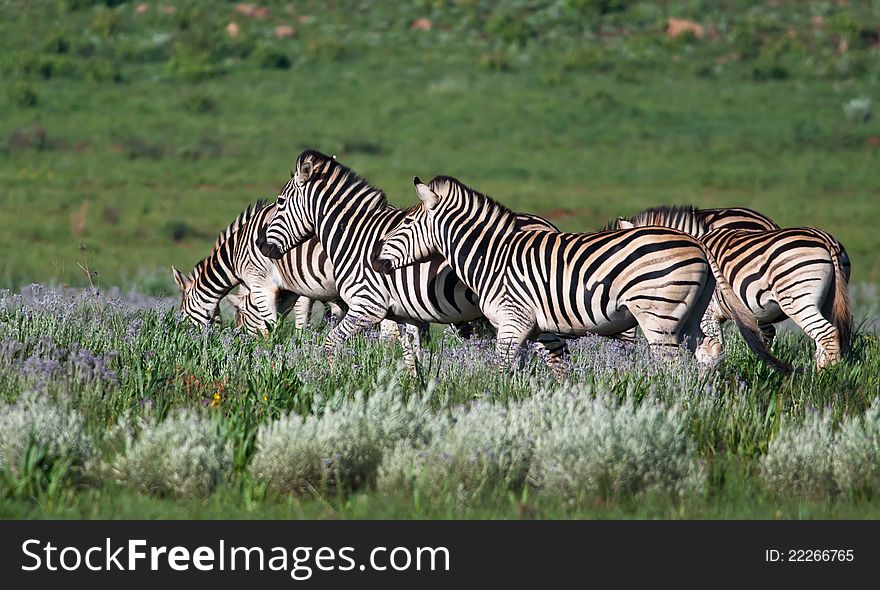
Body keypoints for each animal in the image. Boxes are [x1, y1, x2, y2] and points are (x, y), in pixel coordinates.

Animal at [256, 150, 556, 372]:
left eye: (280, 201)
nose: (261, 244)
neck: (356, 236)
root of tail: (547, 224)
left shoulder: (368, 305)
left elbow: (332, 344)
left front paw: (330, 380)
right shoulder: (403, 314)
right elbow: (411, 358)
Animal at [372, 176, 792, 380]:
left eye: (404, 225)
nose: (375, 260)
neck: (492, 255)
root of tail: (698, 243)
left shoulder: (511, 321)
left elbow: (502, 368)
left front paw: (494, 403)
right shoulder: (535, 326)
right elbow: (538, 368)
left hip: (658, 314)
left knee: (671, 364)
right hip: (688, 314)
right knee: (707, 352)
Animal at [616, 205, 848, 370]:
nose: (619, 353)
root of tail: (826, 240)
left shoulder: (707, 315)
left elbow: (713, 346)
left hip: (798, 300)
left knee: (826, 335)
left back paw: (827, 379)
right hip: (828, 302)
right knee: (824, 341)